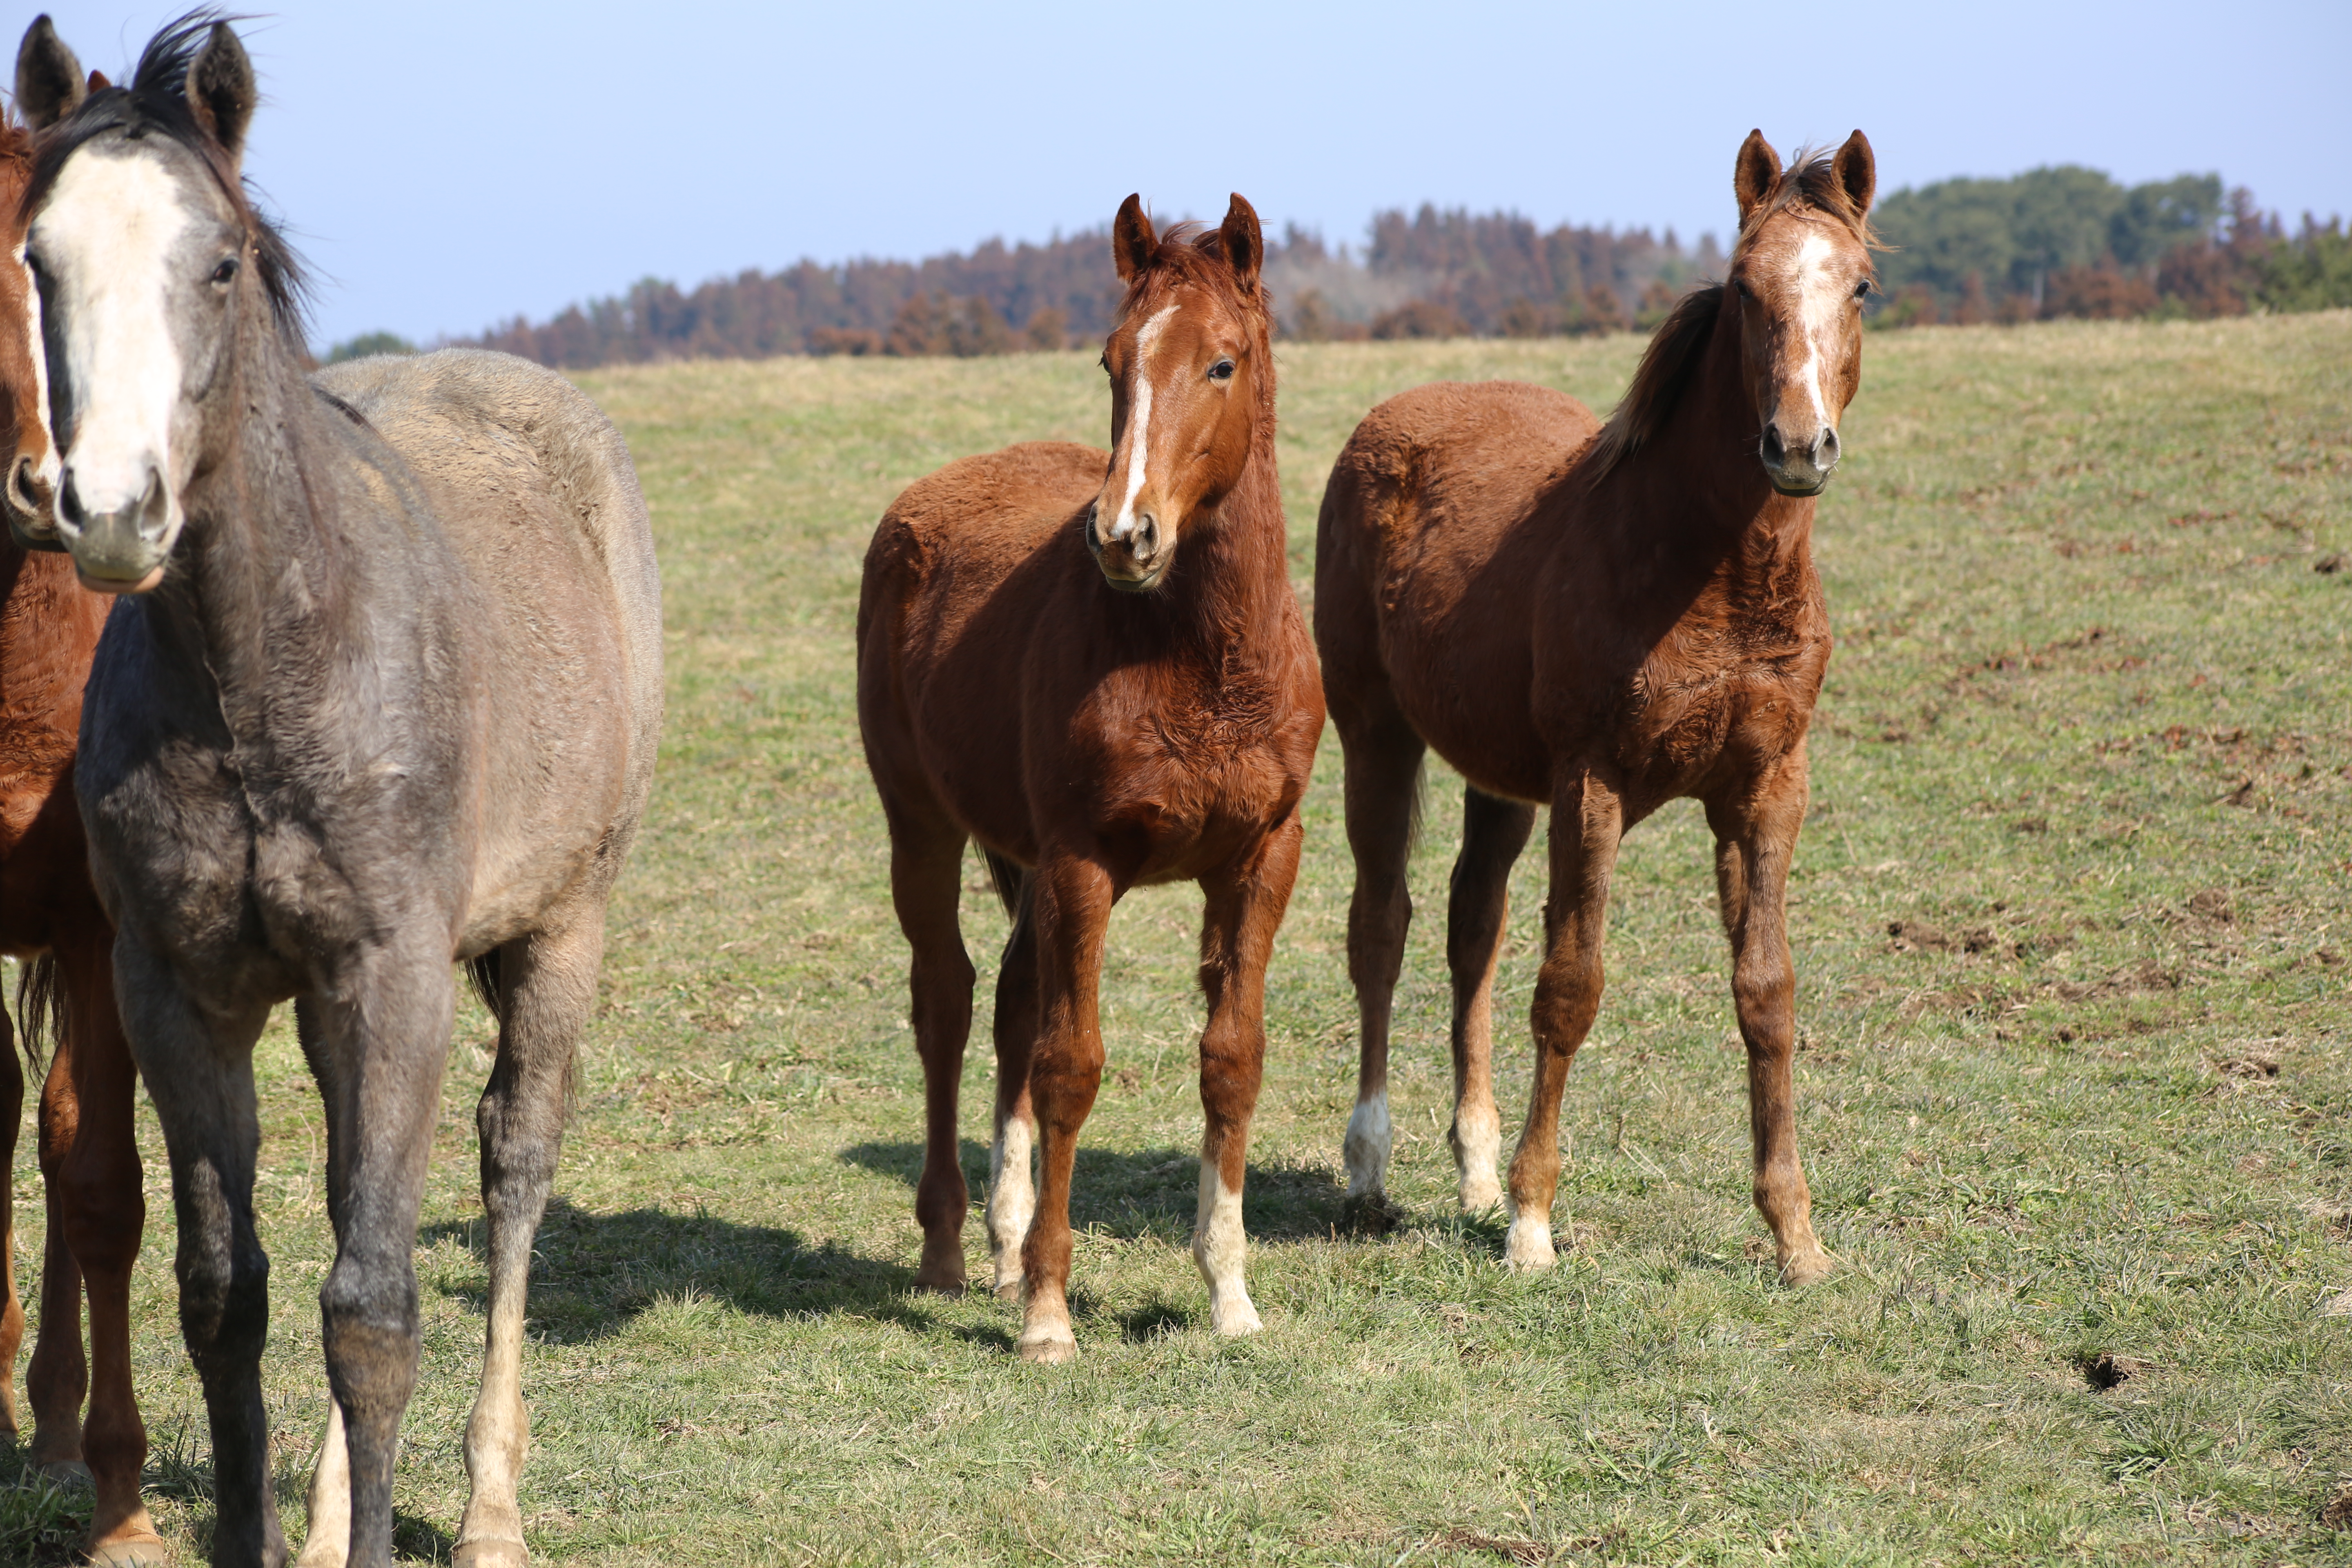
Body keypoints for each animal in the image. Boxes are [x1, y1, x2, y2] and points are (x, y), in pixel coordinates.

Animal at [18, 15, 663, 1568]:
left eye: (221, 261)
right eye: (39, 259)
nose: (112, 509)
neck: (266, 672)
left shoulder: (394, 978)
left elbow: (373, 1309)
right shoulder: (174, 990)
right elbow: (228, 1293)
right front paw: (267, 1528)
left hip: (559, 935)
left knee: (509, 1172)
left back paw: (489, 1508)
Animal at [856, 196, 1326, 1363]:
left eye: (1220, 362)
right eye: (1113, 360)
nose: (1124, 534)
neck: (1196, 657)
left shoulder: (1263, 856)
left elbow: (1231, 1057)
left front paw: (1229, 1294)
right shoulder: (1083, 862)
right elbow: (1071, 1066)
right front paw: (1048, 1314)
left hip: (1019, 856)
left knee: (1011, 1000)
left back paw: (1002, 1239)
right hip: (922, 828)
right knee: (948, 1001)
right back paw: (949, 1249)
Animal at [1326, 131, 1872, 1288]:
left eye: (1858, 287)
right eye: (1746, 288)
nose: (1797, 446)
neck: (1710, 571)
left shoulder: (1766, 786)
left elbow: (1767, 994)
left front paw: (1795, 1234)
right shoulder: (1594, 784)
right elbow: (1570, 985)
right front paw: (1532, 1224)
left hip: (1496, 777)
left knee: (1470, 929)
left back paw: (1473, 1168)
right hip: (1376, 738)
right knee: (1381, 926)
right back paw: (1369, 1164)